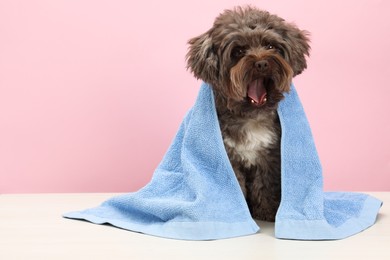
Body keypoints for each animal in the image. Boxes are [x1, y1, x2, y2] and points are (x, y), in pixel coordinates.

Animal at [186, 6, 310, 220]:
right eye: (238, 51)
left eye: (270, 46)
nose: (261, 63)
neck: (249, 117)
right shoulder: (228, 159)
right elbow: (234, 186)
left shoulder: (269, 157)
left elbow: (265, 185)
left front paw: (266, 212)